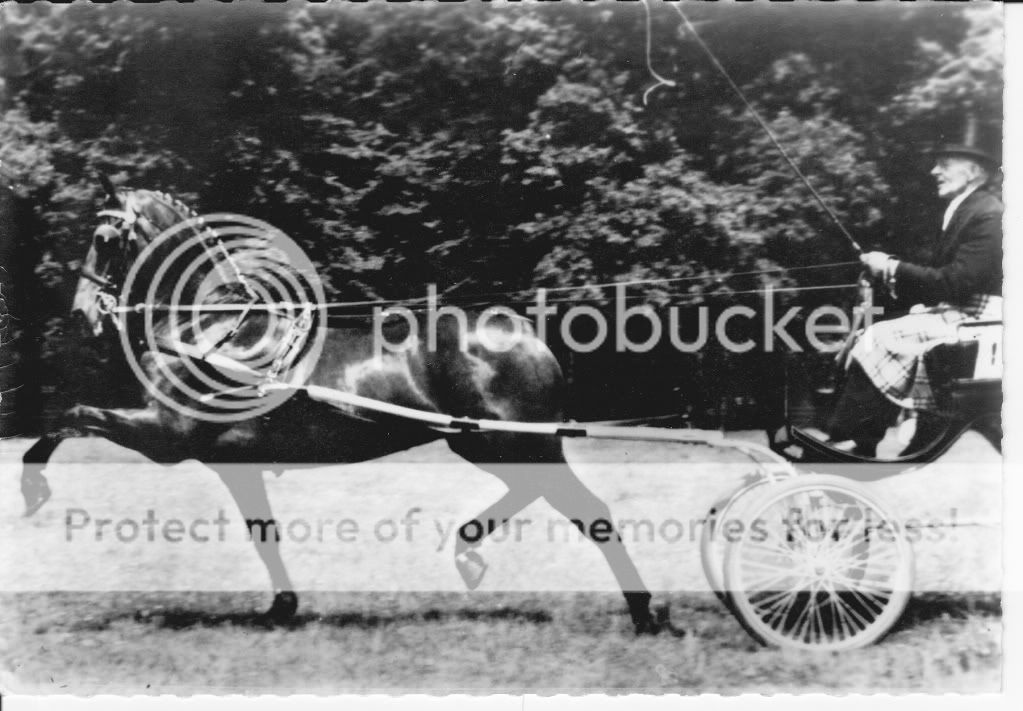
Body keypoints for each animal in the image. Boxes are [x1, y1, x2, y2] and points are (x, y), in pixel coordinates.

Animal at [19, 181, 675, 638]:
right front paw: (282, 608)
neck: (209, 331)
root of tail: (527, 336)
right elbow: (264, 534)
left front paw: (32, 486)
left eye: (105, 239)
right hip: (486, 441)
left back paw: (638, 612)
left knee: (591, 514)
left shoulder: (166, 438)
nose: (82, 314)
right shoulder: (233, 464)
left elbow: (69, 414)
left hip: (514, 442)